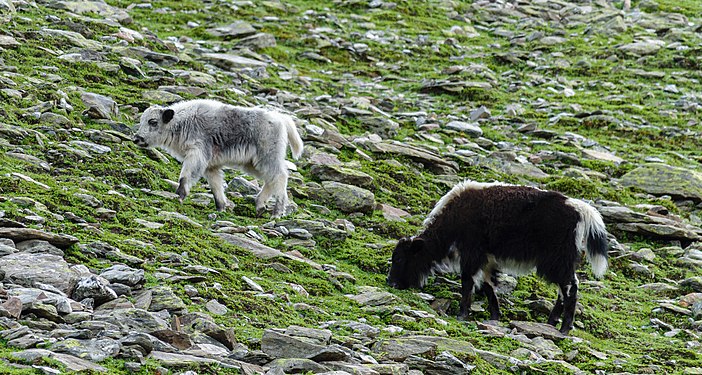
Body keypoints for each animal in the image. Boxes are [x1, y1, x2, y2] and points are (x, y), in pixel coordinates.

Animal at [135, 98, 306, 219]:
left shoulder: (197, 155)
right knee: (271, 179)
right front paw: (221, 208)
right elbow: (216, 186)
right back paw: (260, 206)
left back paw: (276, 212)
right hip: (254, 163)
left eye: (153, 122)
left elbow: (185, 177)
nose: (136, 138)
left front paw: (179, 196)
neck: (183, 123)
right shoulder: (211, 166)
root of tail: (281, 119)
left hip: (268, 157)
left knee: (280, 176)